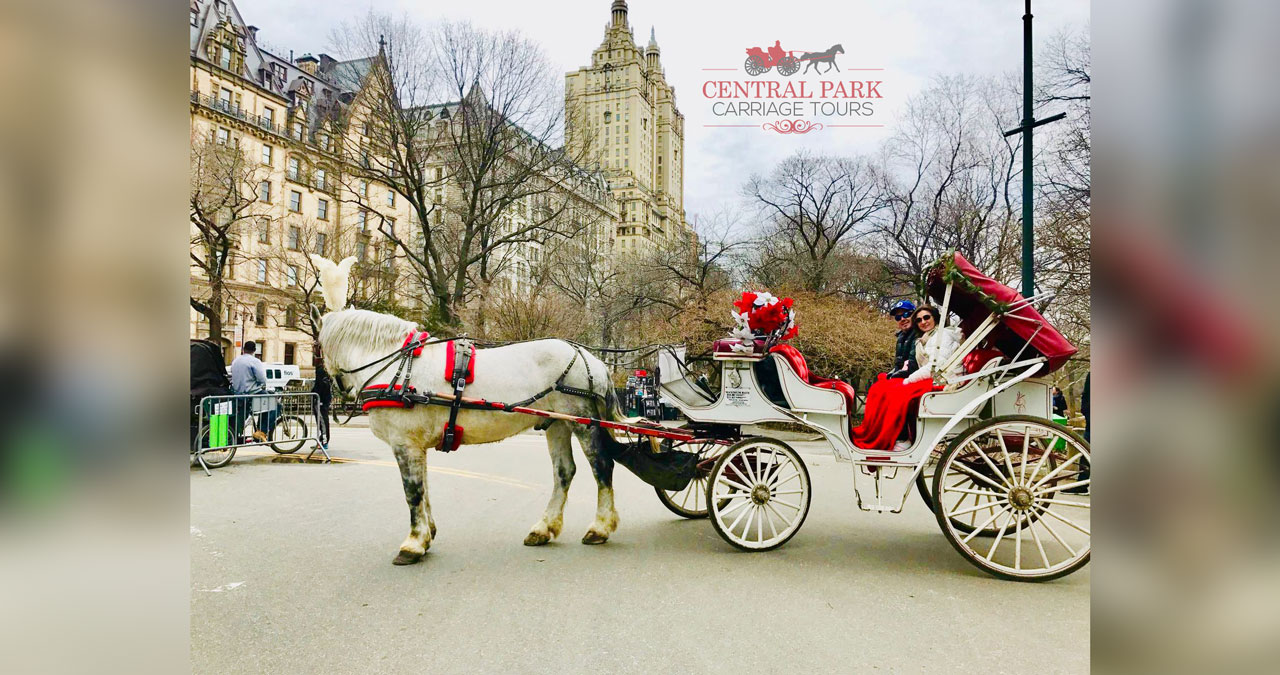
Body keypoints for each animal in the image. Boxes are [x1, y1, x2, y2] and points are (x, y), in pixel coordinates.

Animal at [312, 254, 627, 566]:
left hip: (583, 422)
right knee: (564, 472)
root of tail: (589, 357)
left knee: (602, 466)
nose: (337, 389)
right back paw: (544, 528)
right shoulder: (417, 445)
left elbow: (413, 492)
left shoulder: (405, 443)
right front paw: (427, 536)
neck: (398, 365)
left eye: (316, 346)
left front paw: (413, 543)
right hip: (558, 424)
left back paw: (600, 527)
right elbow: (424, 489)